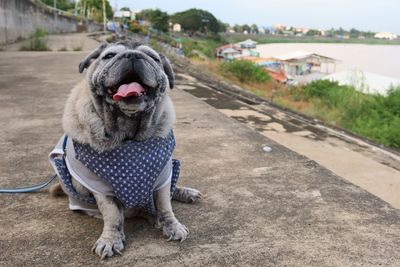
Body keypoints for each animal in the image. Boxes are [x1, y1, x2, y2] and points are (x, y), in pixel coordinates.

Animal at [48, 41, 202, 260]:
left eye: (153, 58)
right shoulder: (99, 186)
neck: (129, 132)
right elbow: (112, 215)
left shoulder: (162, 174)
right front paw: (111, 239)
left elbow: (165, 203)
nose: (132, 55)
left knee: (170, 190)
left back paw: (184, 194)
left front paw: (172, 225)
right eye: (109, 56)